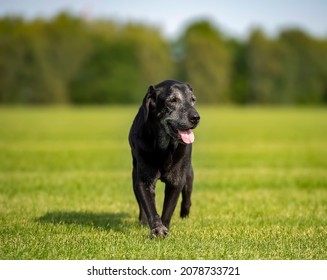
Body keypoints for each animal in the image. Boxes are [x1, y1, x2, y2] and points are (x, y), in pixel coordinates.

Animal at [128, 80, 200, 237]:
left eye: (193, 99)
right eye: (173, 100)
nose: (196, 117)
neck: (164, 148)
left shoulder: (177, 180)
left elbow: (168, 210)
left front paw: (164, 228)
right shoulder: (143, 180)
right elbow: (150, 207)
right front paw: (157, 229)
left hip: (189, 174)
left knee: (187, 197)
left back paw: (185, 214)